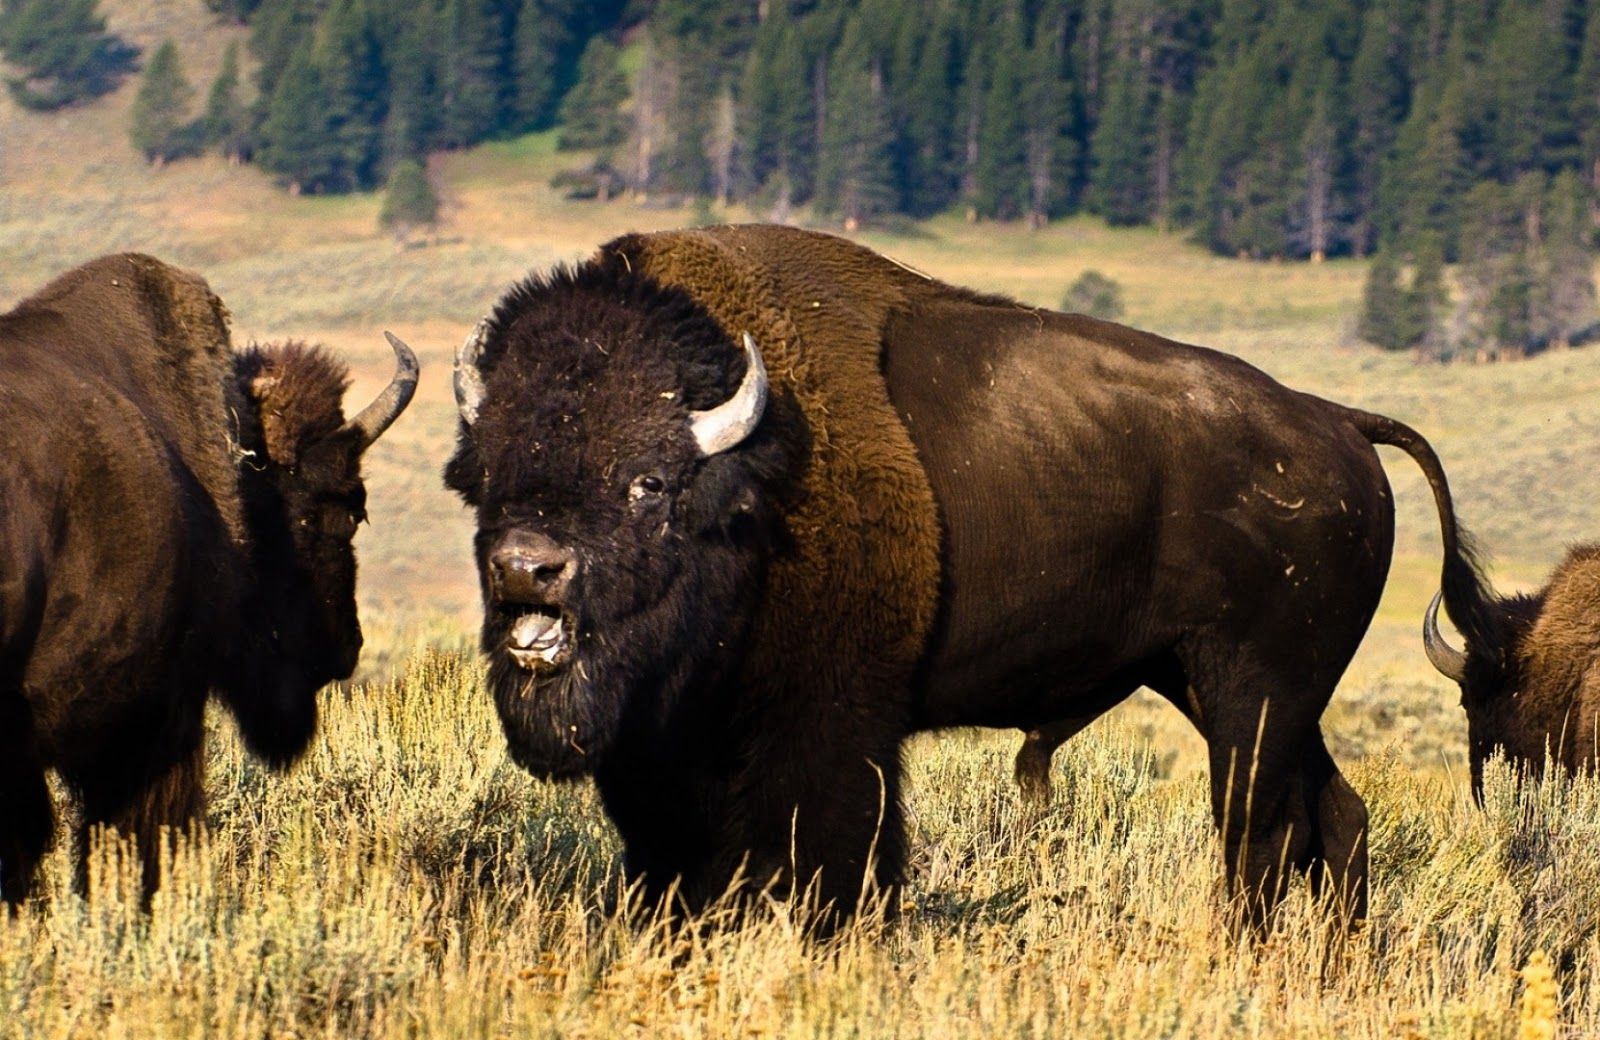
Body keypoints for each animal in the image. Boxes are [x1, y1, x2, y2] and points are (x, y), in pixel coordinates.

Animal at [445, 225, 1484, 930]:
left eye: (648, 482)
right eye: (487, 474)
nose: (527, 567)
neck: (751, 482)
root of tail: (1337, 421)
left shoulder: (829, 730)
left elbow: (833, 859)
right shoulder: (659, 753)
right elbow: (675, 869)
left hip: (1253, 694)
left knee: (1262, 833)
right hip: (1220, 685)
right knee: (1335, 817)